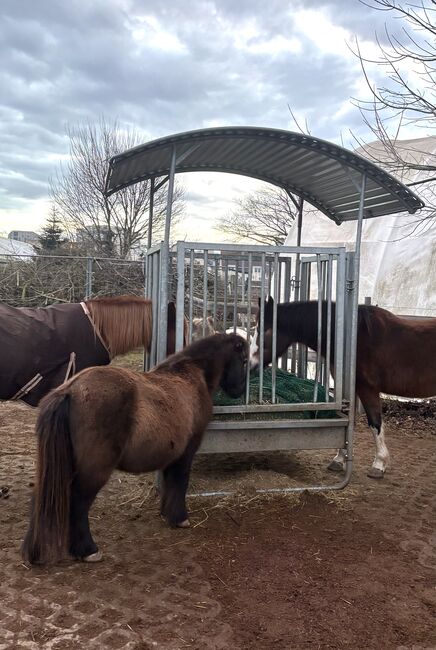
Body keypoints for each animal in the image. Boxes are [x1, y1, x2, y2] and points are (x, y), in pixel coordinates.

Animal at [23, 334, 249, 560]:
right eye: (245, 360)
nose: (239, 391)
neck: (190, 373)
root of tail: (71, 390)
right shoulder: (186, 452)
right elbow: (180, 481)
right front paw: (180, 518)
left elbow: (169, 483)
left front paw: (167, 514)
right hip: (94, 470)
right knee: (78, 501)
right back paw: (88, 550)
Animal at [249, 298, 436, 476]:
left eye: (265, 330)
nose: (250, 365)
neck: (352, 339)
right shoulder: (351, 388)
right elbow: (349, 421)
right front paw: (339, 459)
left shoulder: (367, 389)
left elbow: (375, 423)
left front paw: (379, 464)